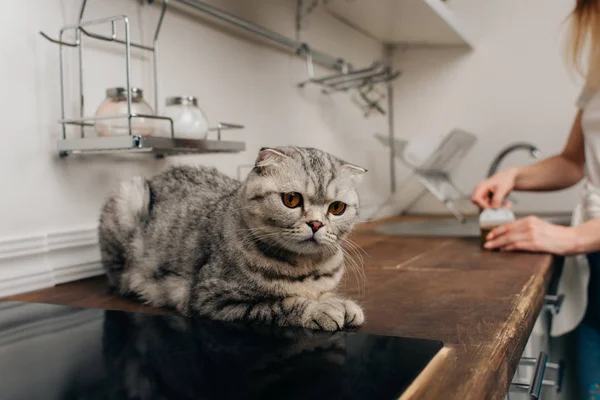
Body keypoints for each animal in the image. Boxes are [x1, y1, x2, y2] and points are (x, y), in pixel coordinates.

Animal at [99, 145, 366, 330]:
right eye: (291, 199)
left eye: (337, 208)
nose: (316, 224)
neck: (307, 267)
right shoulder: (214, 298)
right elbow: (283, 303)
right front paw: (320, 310)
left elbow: (326, 293)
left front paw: (342, 303)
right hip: (130, 195)